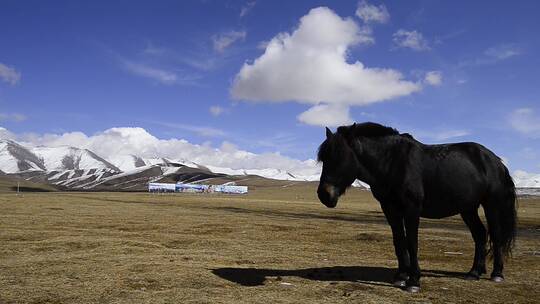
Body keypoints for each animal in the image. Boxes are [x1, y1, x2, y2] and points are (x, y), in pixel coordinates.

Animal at [318, 121, 516, 292]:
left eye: (340, 156)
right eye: (324, 159)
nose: (324, 195)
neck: (392, 163)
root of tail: (496, 160)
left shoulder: (412, 208)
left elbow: (412, 242)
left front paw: (413, 281)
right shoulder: (390, 209)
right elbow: (399, 241)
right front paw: (401, 276)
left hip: (491, 205)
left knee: (495, 235)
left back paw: (497, 273)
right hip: (468, 208)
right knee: (480, 234)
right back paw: (474, 272)